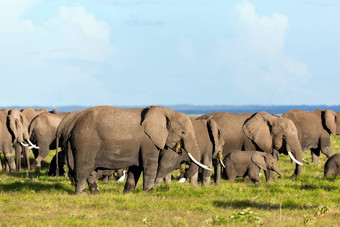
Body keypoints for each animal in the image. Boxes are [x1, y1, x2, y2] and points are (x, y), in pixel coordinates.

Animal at [55, 105, 210, 194]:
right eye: (183, 132)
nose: (185, 169)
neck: (166, 111)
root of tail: (72, 122)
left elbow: (136, 168)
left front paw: (128, 193)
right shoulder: (148, 141)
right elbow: (149, 166)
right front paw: (149, 193)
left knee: (90, 171)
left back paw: (96, 194)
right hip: (85, 142)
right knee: (83, 168)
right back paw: (81, 194)